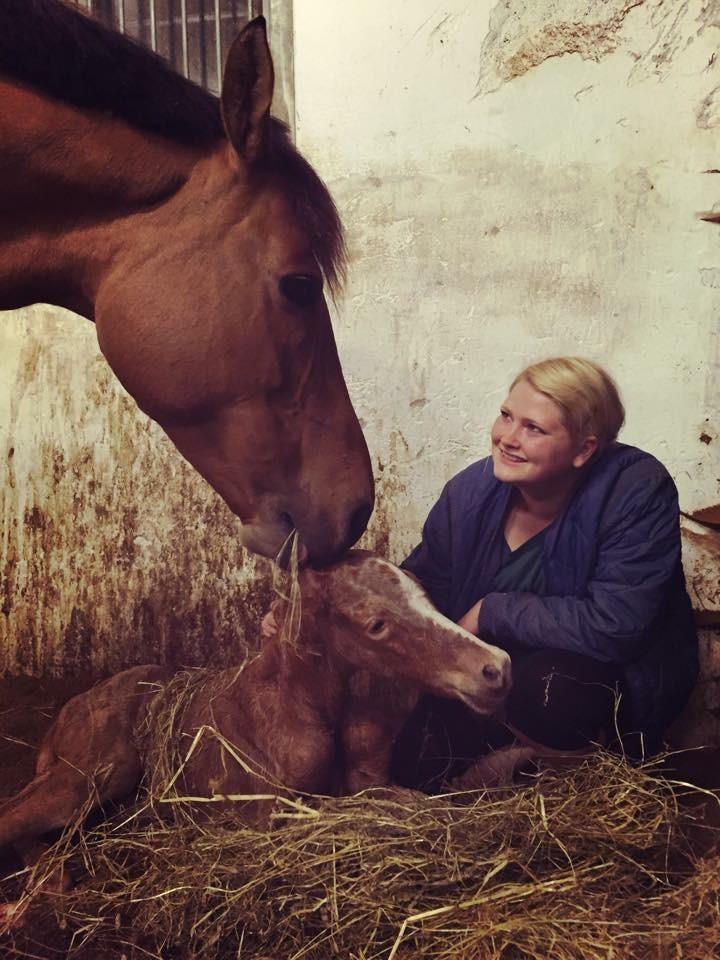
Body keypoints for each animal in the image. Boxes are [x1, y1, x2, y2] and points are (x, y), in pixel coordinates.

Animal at [0, 552, 512, 928]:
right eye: (376, 624)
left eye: (425, 595)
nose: (496, 667)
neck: (309, 709)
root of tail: (71, 707)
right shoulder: (269, 814)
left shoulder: (370, 782)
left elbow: (413, 804)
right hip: (95, 774)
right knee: (16, 814)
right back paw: (44, 885)